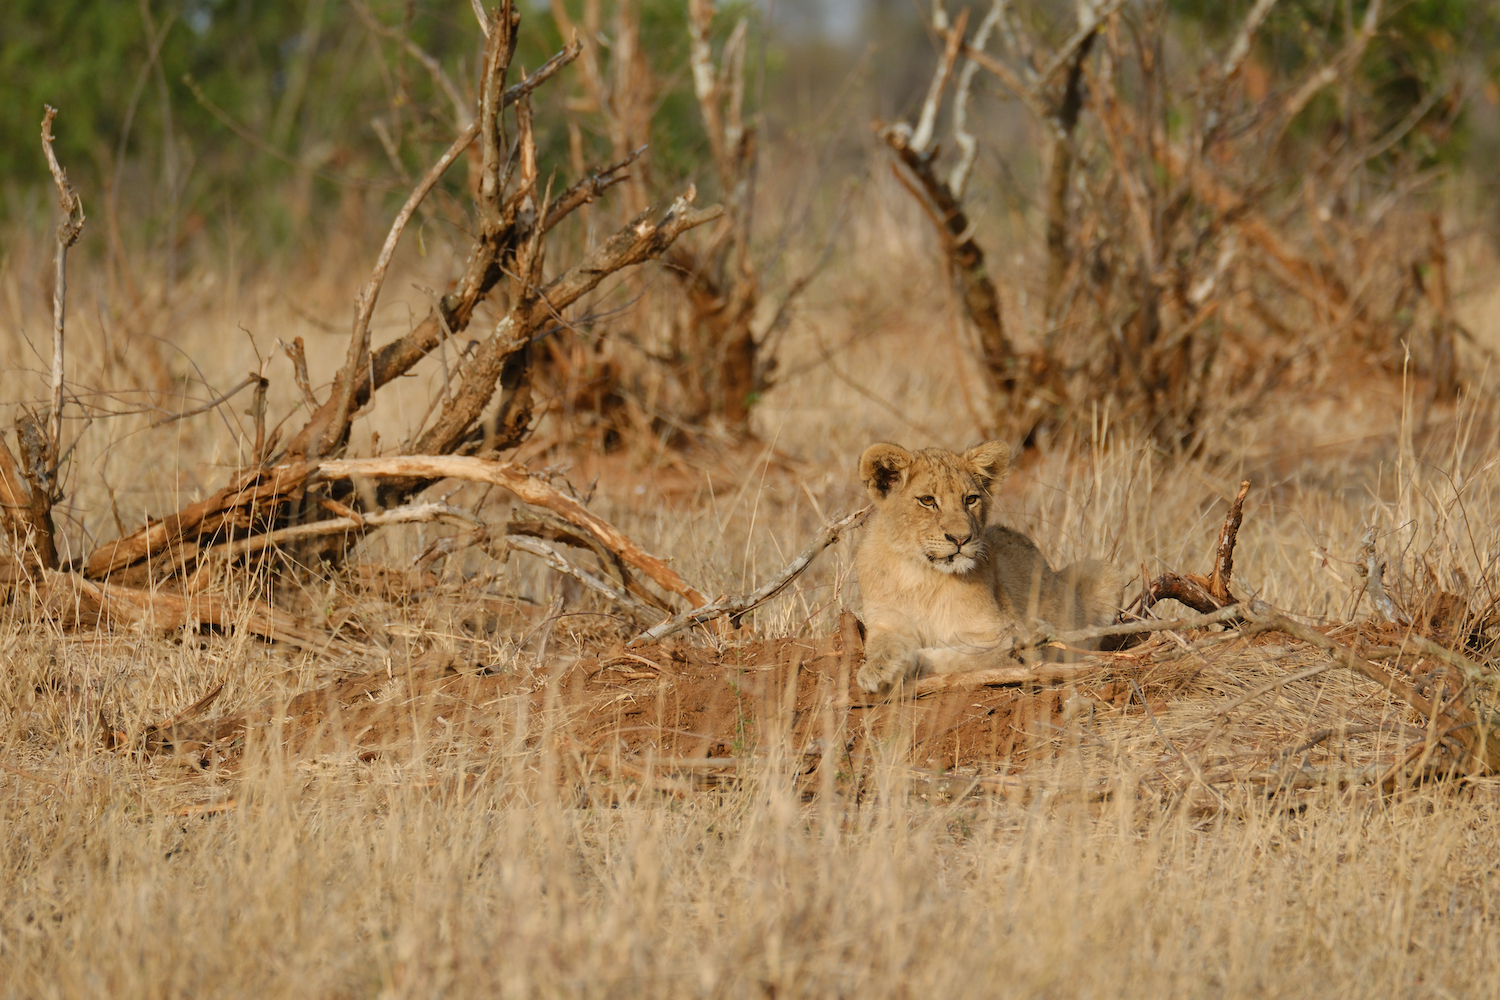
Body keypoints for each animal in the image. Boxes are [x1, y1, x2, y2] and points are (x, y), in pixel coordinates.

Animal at [853, 439, 1123, 694]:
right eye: (927, 500)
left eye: (970, 499)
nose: (961, 538)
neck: (923, 576)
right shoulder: (885, 621)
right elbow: (882, 645)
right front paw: (877, 670)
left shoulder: (1010, 637)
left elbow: (960, 657)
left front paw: (913, 660)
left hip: (1103, 572)